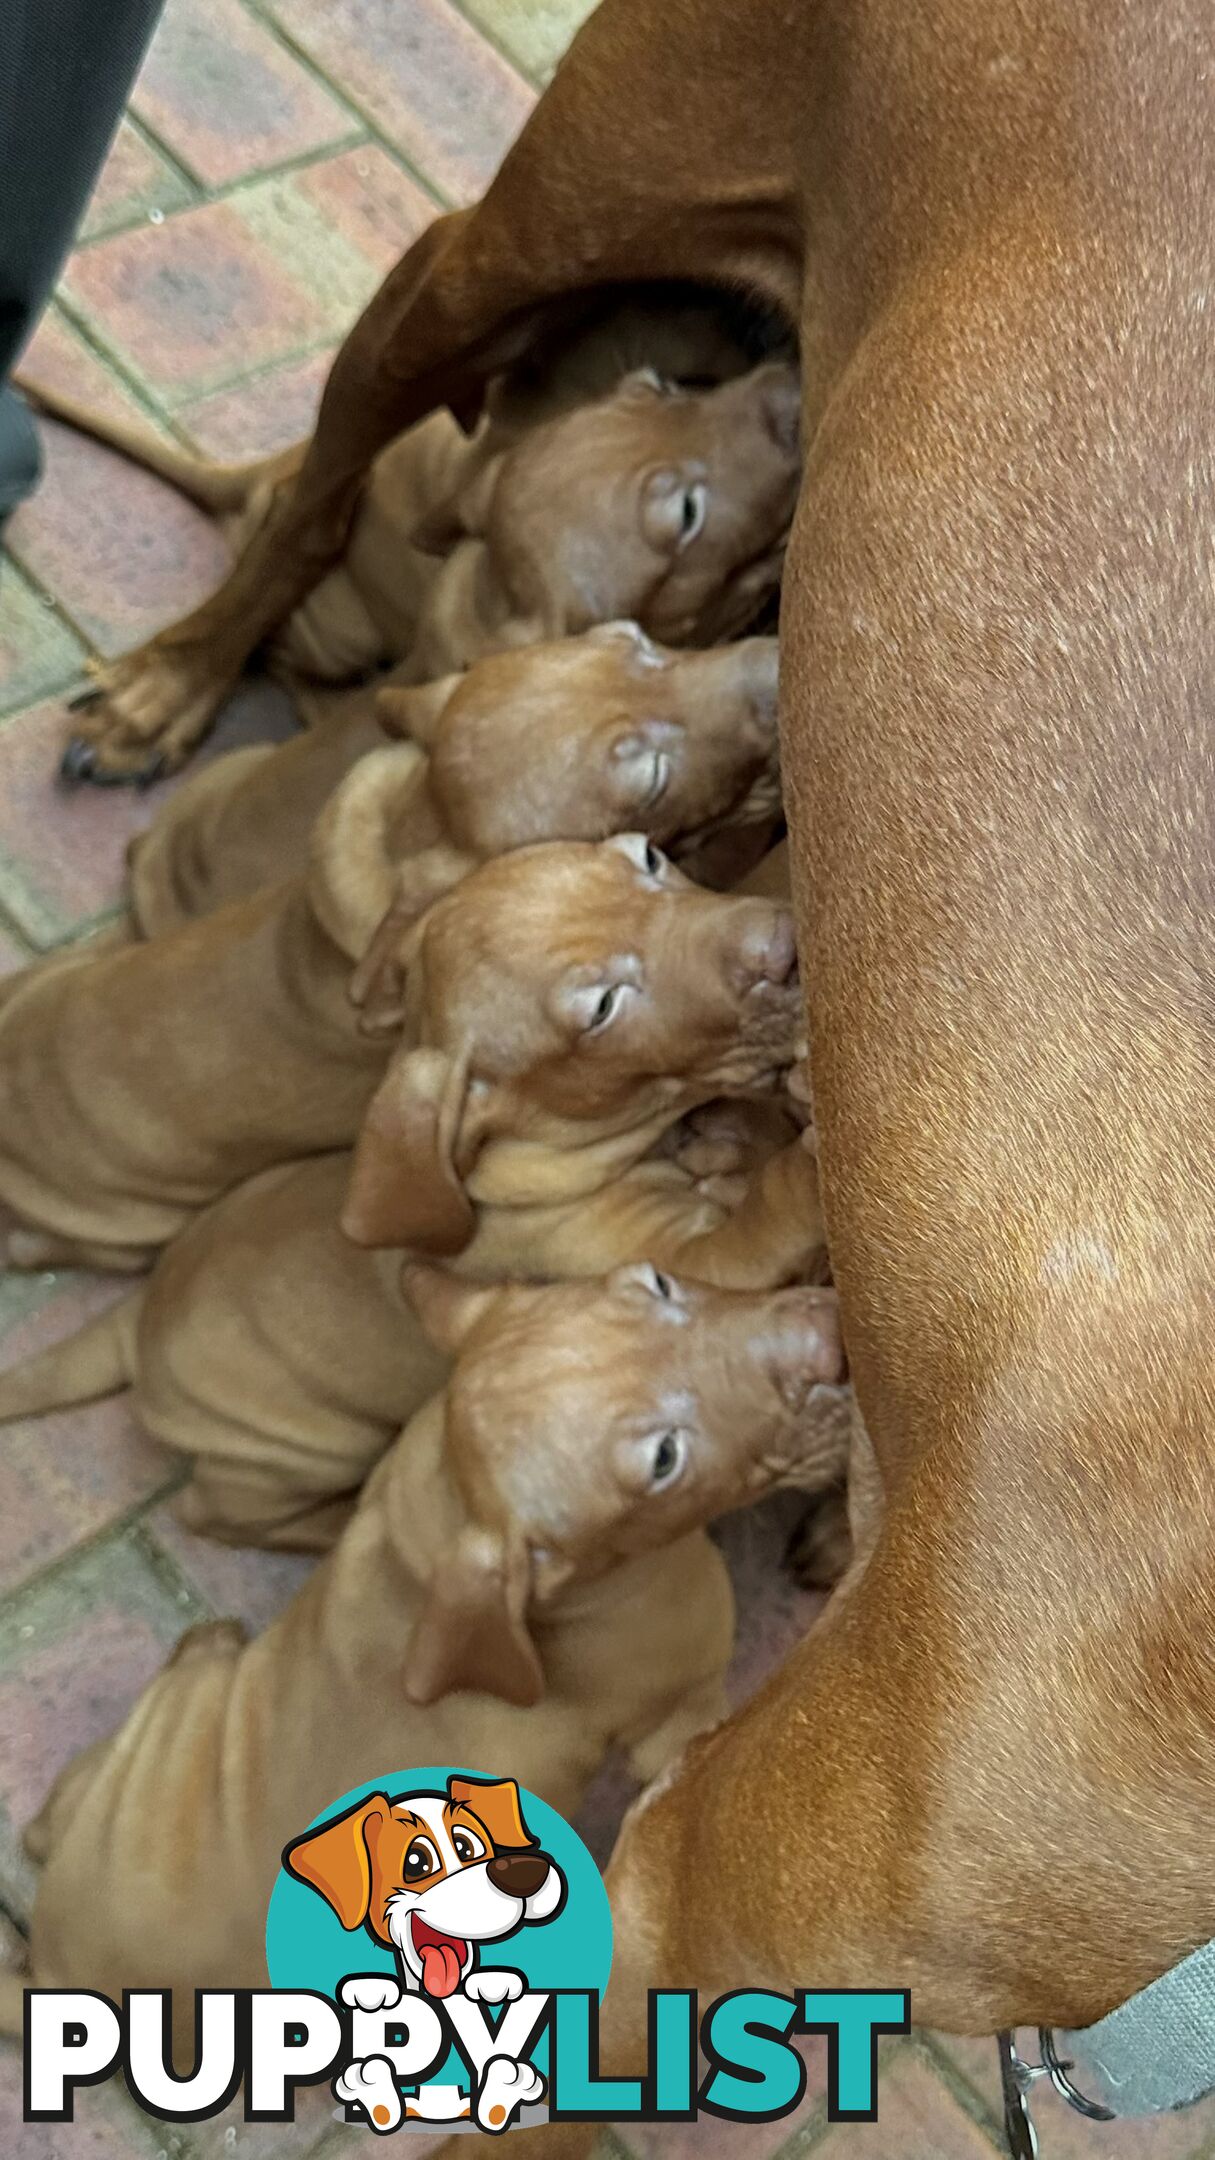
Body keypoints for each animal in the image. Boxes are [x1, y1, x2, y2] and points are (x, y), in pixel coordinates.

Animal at [0, 1097, 821, 1555]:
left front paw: (743, 1135)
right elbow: (759, 1226)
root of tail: (135, 1323)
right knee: (217, 1513)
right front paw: (798, 1162)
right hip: (306, 1447)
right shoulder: (670, 1256)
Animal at [2, 1261, 843, 2039]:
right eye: (664, 1460)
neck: (445, 1510)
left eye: (657, 1280)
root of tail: (51, 1969)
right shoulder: (680, 1710)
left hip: (143, 1746)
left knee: (45, 1821)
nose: (830, 1340)